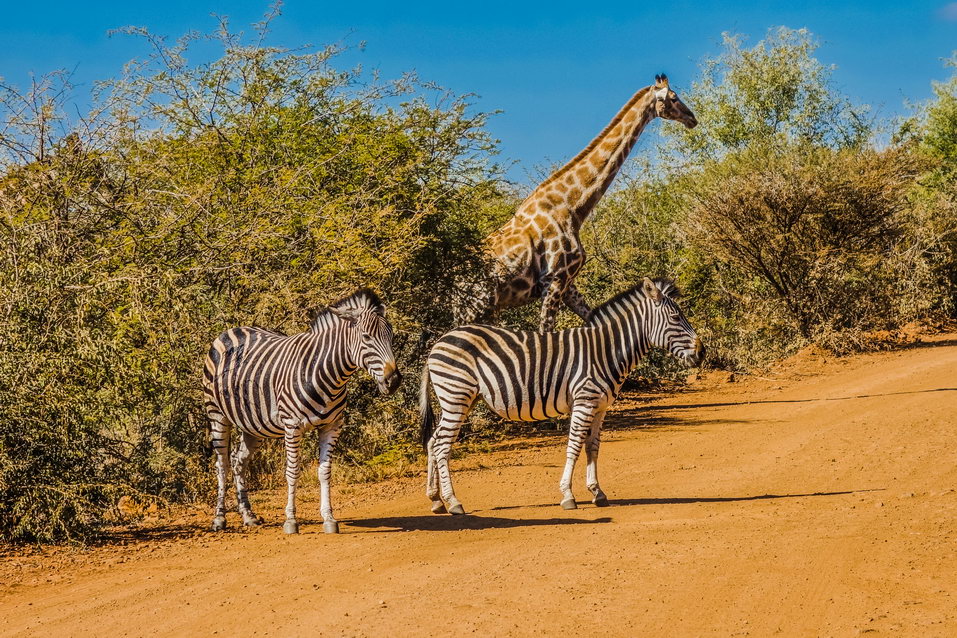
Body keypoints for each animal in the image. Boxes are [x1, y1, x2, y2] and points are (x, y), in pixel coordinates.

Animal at [204, 290, 402, 536]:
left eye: (391, 336)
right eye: (366, 337)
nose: (394, 381)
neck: (328, 374)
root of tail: (232, 329)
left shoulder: (332, 426)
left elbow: (324, 471)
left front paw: (329, 518)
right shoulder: (292, 425)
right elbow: (292, 471)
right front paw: (291, 521)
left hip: (253, 425)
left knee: (238, 461)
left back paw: (248, 515)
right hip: (217, 414)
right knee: (222, 464)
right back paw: (219, 519)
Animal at [418, 278, 704, 516]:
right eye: (676, 317)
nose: (702, 352)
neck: (605, 351)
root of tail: (439, 342)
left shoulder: (600, 407)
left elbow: (593, 447)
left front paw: (597, 492)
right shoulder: (584, 402)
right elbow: (574, 446)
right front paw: (568, 495)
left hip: (460, 399)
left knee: (433, 442)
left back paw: (436, 500)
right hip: (457, 395)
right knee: (442, 445)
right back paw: (453, 502)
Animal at [460, 74, 700, 332]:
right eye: (674, 98)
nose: (692, 118)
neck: (572, 209)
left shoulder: (568, 283)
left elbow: (594, 318)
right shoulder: (554, 280)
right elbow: (546, 333)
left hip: (488, 309)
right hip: (473, 307)